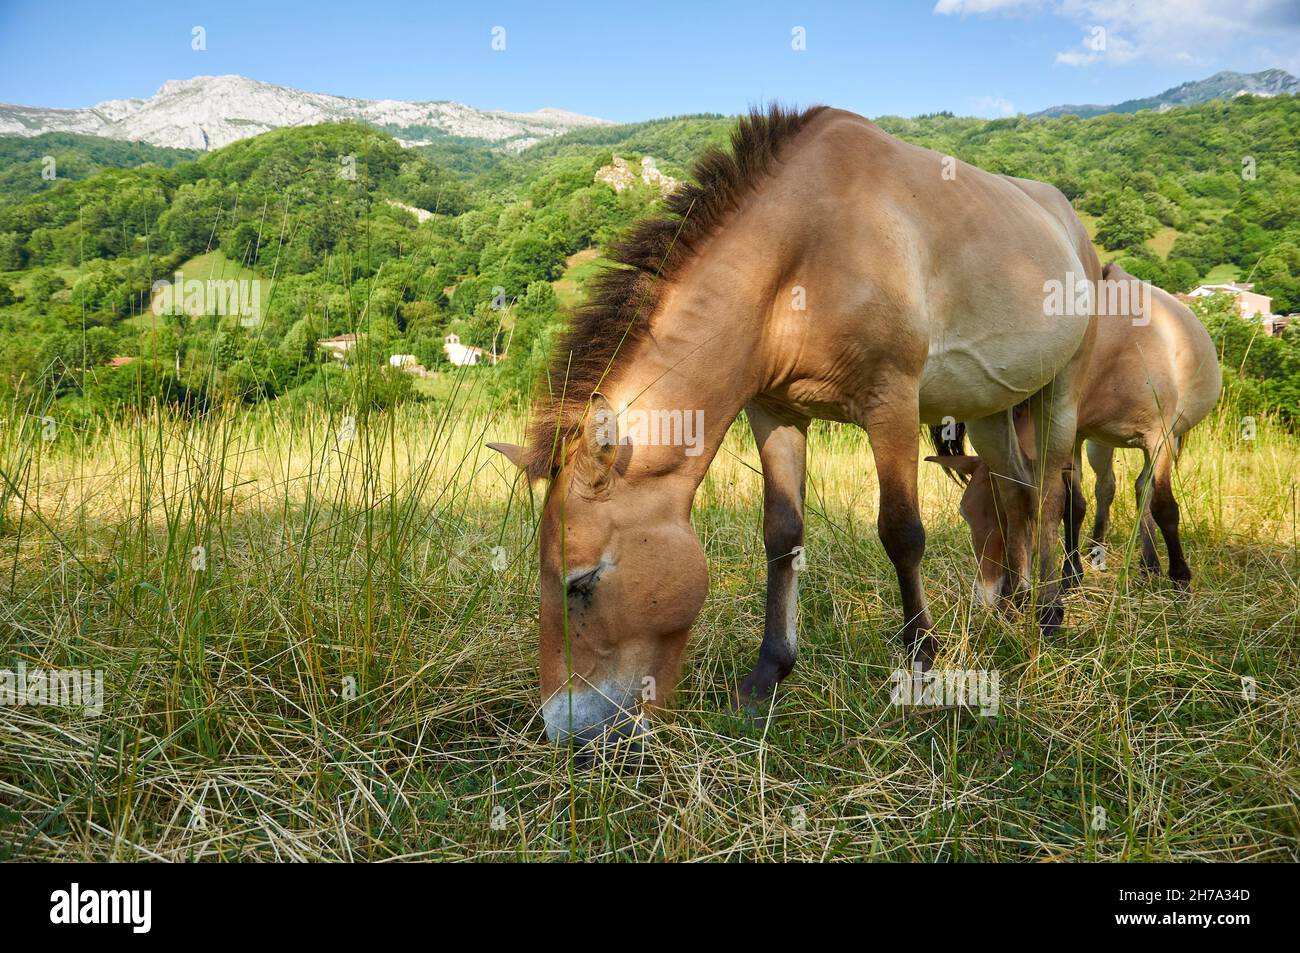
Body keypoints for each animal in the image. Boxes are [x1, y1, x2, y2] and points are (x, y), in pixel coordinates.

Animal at [488, 105, 1097, 748]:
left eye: (581, 582)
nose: (567, 735)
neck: (807, 248)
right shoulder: (776, 413)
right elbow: (782, 535)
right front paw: (767, 675)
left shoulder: (892, 402)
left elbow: (902, 533)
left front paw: (922, 664)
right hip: (991, 411)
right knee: (1015, 490)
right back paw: (1013, 606)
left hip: (1062, 391)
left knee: (1051, 492)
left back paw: (1051, 614)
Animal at [930, 262, 1222, 595]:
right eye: (965, 512)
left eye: (1015, 516)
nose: (986, 591)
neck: (1122, 346)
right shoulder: (1075, 437)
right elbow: (1075, 506)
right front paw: (1071, 574)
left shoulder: (1158, 437)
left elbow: (1164, 506)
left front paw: (1180, 576)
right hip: (1101, 442)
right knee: (1112, 486)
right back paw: (1111, 553)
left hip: (1165, 442)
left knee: (1145, 490)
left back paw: (1150, 564)